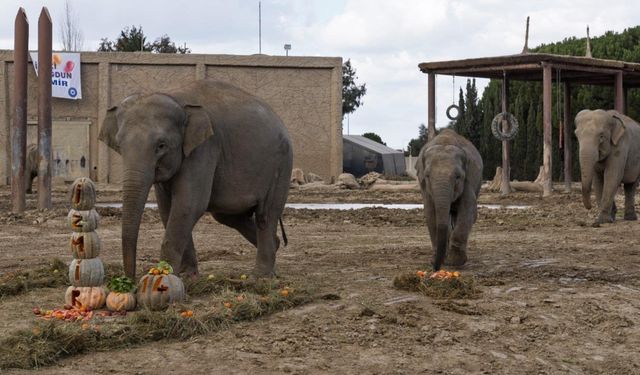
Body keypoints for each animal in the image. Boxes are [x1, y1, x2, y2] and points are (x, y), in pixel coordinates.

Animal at [99, 80, 294, 280]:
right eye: (119, 144)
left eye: (161, 146)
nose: (129, 280)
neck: (176, 98)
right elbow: (167, 208)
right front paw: (186, 275)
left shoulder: (204, 148)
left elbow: (188, 205)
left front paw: (164, 276)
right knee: (227, 215)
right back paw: (276, 247)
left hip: (281, 164)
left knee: (266, 214)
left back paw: (260, 276)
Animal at [412, 129, 482, 270]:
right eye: (427, 176)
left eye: (458, 176)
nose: (436, 268)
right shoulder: (425, 188)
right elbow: (430, 213)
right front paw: (437, 259)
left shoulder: (469, 179)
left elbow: (468, 209)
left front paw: (455, 262)